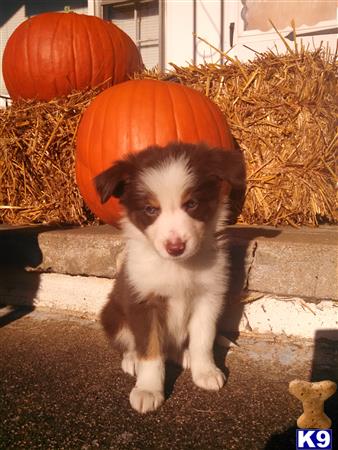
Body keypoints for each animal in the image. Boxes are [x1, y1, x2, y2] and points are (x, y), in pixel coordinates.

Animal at [95, 142, 246, 414]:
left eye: (192, 204)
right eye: (150, 209)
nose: (175, 247)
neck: (178, 267)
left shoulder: (208, 298)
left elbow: (203, 339)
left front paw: (206, 371)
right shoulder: (144, 303)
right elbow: (150, 351)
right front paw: (148, 389)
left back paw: (184, 356)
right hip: (113, 316)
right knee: (132, 345)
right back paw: (132, 361)